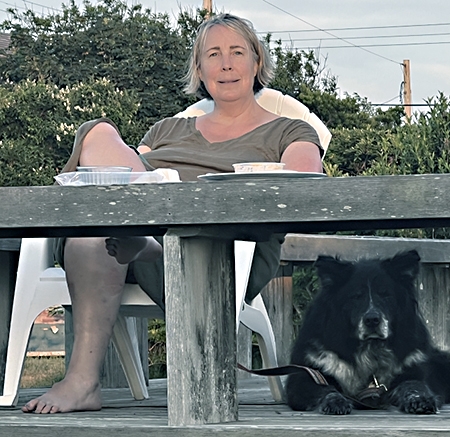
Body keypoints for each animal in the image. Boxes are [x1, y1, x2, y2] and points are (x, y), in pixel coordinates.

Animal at [286, 250, 450, 414]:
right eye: (356, 296)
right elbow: (326, 389)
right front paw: (336, 401)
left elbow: (414, 385)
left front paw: (421, 400)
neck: (370, 348)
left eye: (385, 294)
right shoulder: (306, 377)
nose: (372, 320)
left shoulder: (411, 371)